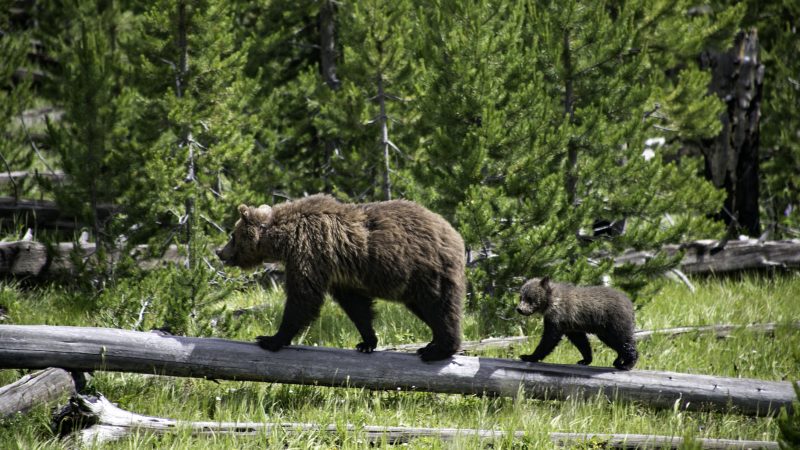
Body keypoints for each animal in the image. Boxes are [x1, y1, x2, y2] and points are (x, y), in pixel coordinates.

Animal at [217, 194, 468, 362]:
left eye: (232, 235)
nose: (220, 252)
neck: (284, 239)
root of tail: (455, 234)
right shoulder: (340, 274)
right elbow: (356, 306)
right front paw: (367, 341)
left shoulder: (309, 252)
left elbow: (303, 298)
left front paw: (271, 338)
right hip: (414, 285)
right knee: (425, 309)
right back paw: (431, 344)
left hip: (428, 271)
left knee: (439, 307)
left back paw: (438, 349)